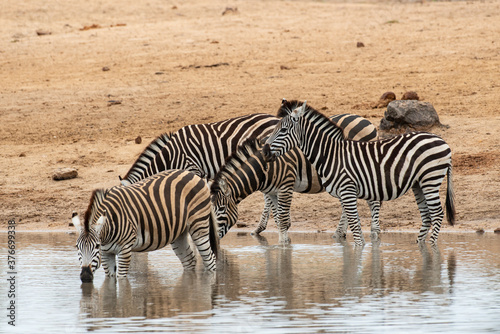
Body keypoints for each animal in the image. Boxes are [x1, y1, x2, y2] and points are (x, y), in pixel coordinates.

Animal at [73, 170, 219, 282]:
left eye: (96, 246)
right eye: (77, 247)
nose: (85, 276)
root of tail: (193, 175)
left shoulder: (125, 249)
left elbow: (122, 281)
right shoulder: (106, 253)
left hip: (199, 226)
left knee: (210, 260)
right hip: (179, 233)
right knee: (189, 260)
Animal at [210, 137, 378, 244]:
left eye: (222, 208)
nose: (213, 239)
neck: (265, 169)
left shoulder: (286, 186)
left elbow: (283, 220)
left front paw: (284, 246)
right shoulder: (272, 192)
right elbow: (278, 219)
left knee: (373, 202)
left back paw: (375, 233)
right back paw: (338, 233)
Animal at [264, 99, 456, 245]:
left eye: (283, 130)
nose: (264, 152)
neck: (331, 154)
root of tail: (442, 141)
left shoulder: (347, 190)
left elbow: (355, 227)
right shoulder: (345, 194)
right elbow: (354, 226)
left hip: (430, 179)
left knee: (437, 214)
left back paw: (432, 247)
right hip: (418, 184)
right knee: (427, 216)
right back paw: (421, 246)